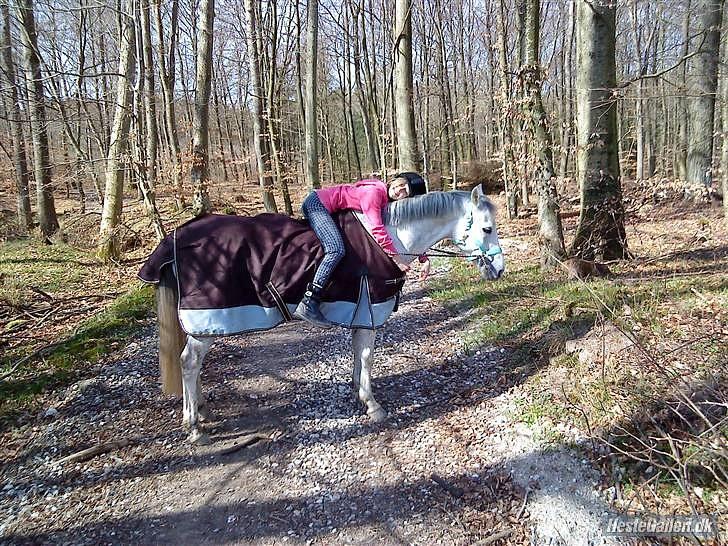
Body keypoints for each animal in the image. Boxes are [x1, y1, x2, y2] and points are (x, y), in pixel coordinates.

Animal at [156, 186, 504, 442]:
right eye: (486, 228)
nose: (499, 269)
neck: (389, 239)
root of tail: (178, 236)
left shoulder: (360, 315)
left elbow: (358, 355)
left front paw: (357, 391)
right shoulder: (369, 313)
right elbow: (367, 357)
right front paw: (372, 404)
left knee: (193, 365)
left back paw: (199, 410)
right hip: (206, 321)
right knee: (189, 363)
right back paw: (194, 427)